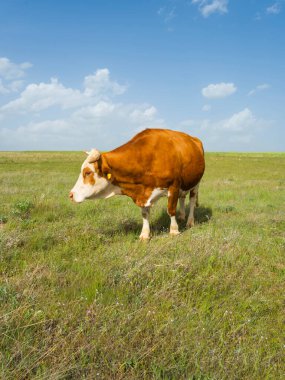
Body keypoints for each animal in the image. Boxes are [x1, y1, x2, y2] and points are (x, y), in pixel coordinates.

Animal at [70, 129, 205, 239]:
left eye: (87, 172)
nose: (71, 195)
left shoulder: (174, 186)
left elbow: (170, 210)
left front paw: (174, 231)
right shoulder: (142, 192)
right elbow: (145, 214)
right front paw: (144, 234)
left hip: (196, 183)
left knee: (192, 201)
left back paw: (190, 221)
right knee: (182, 198)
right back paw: (182, 216)